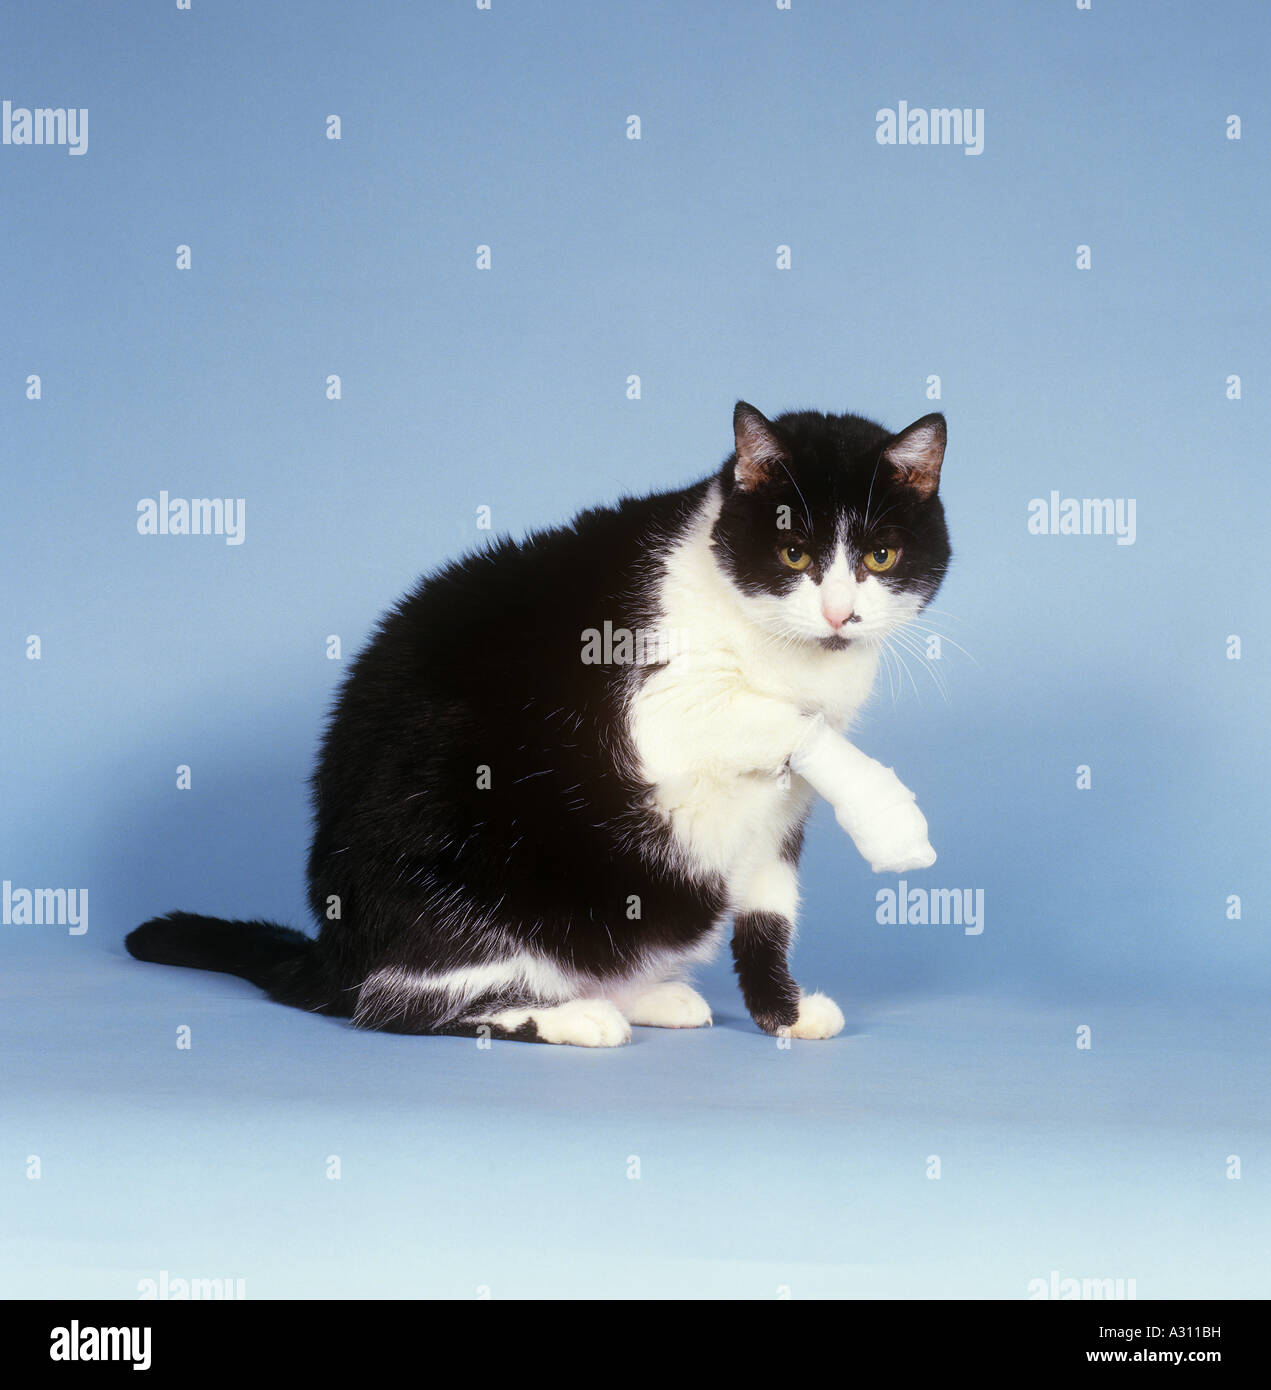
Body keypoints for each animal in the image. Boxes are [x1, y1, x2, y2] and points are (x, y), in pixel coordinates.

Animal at [123, 400, 945, 1045]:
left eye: (879, 556)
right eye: (793, 553)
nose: (840, 615)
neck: (796, 662)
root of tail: (335, 950)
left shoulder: (780, 811)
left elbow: (768, 910)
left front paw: (784, 1016)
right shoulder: (656, 709)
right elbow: (791, 724)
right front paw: (889, 820)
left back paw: (638, 994)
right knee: (395, 1005)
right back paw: (571, 1014)